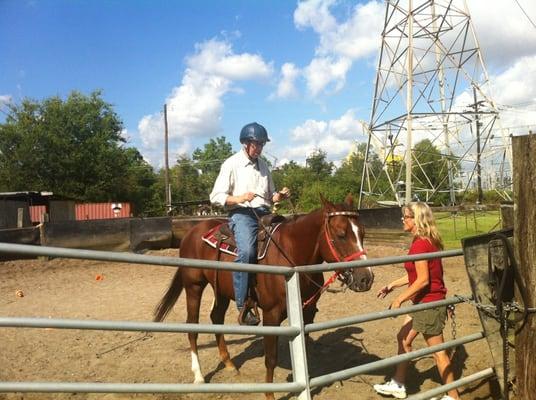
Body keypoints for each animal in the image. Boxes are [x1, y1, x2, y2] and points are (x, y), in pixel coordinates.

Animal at [153, 193, 374, 396]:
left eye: (363, 233)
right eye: (341, 234)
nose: (366, 278)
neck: (291, 255)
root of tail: (192, 232)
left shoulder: (308, 311)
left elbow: (304, 348)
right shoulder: (271, 314)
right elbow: (271, 358)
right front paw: (270, 394)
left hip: (221, 291)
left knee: (216, 317)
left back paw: (229, 363)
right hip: (194, 286)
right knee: (192, 327)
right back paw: (198, 376)